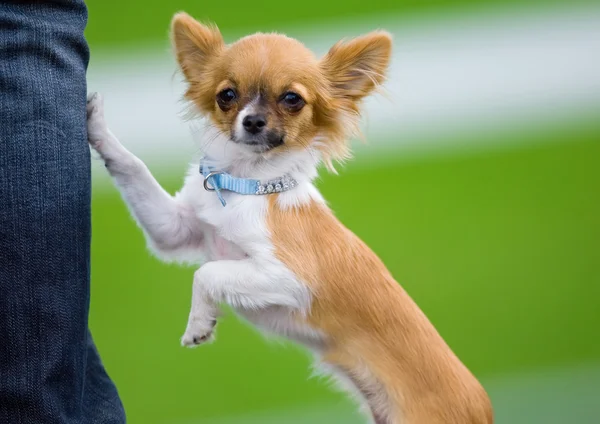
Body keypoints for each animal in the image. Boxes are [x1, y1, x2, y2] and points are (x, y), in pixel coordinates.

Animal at [86, 11, 494, 422]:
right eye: (226, 95)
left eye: (292, 99)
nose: (252, 121)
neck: (246, 186)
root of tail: (483, 408)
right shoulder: (174, 230)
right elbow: (133, 167)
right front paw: (97, 125)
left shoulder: (290, 277)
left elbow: (208, 273)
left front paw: (200, 323)